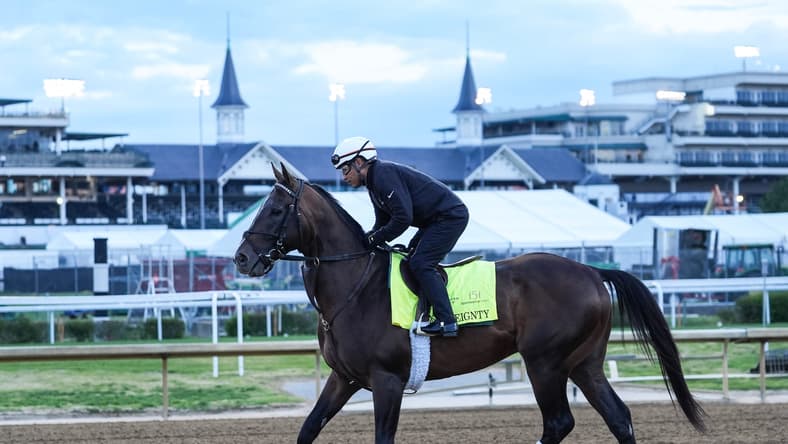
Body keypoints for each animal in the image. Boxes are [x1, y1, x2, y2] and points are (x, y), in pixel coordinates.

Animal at [233, 163, 706, 444]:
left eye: (275, 209)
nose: (241, 258)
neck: (355, 287)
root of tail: (592, 271)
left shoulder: (387, 381)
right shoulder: (344, 378)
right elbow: (308, 428)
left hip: (545, 362)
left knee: (559, 422)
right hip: (583, 363)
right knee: (618, 416)